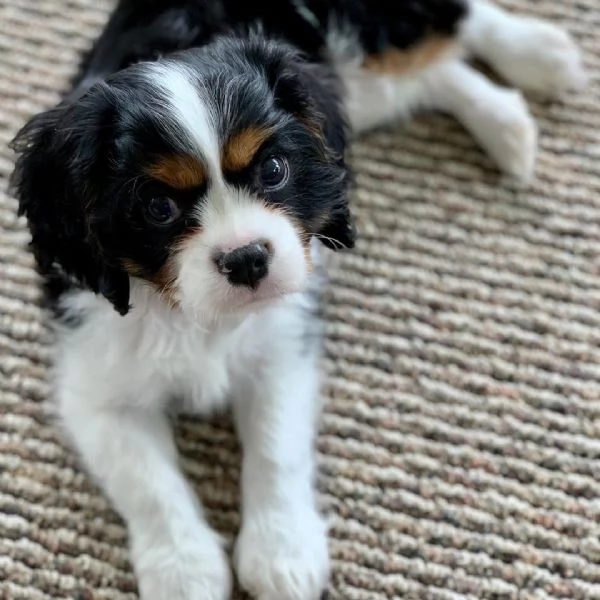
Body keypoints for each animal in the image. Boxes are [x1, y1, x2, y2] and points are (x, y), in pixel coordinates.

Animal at [7, 1, 584, 600]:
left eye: (274, 170)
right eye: (157, 207)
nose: (247, 259)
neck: (191, 315)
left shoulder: (281, 347)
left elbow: (275, 446)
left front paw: (282, 553)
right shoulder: (97, 382)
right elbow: (148, 483)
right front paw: (184, 571)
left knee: (450, 28)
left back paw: (538, 56)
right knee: (429, 74)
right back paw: (508, 120)